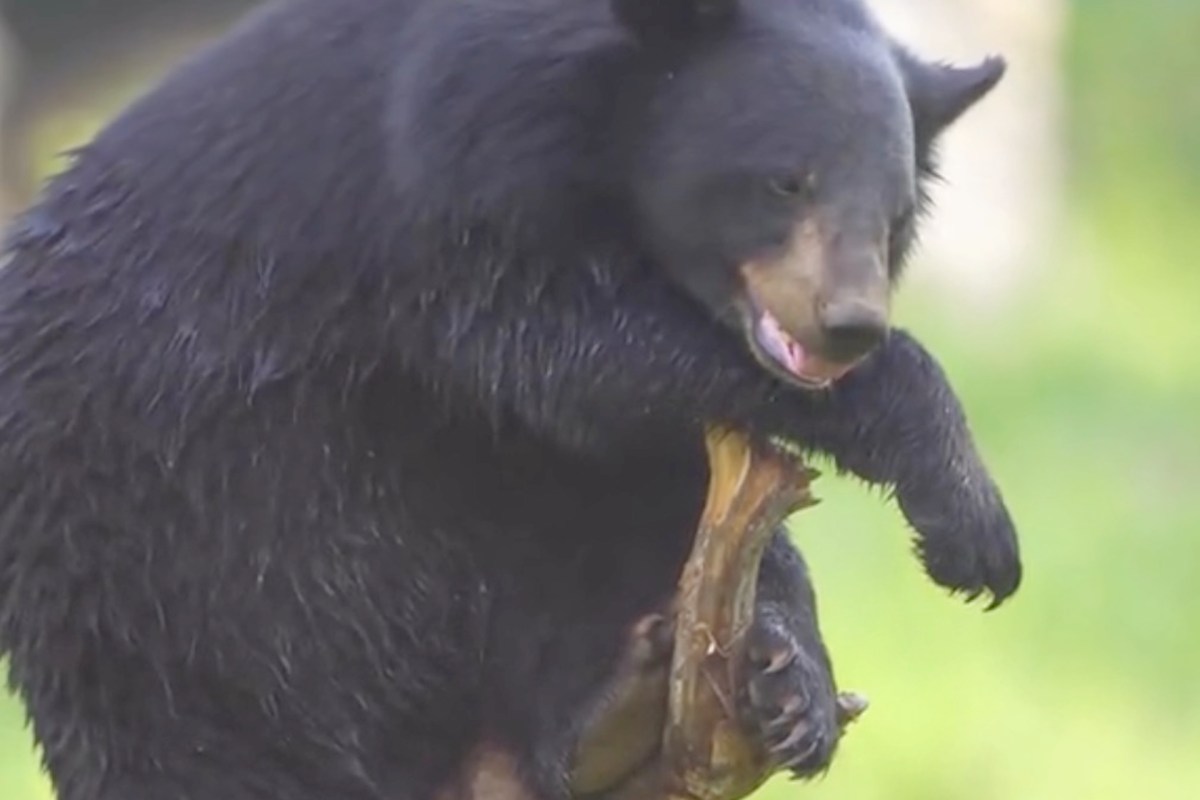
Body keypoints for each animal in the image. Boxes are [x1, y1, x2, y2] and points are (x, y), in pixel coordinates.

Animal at [0, 0, 1020, 798]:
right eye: (784, 181)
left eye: (893, 216)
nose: (848, 328)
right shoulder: (456, 171)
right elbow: (550, 341)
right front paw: (974, 532)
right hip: (150, 594)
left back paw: (712, 694)